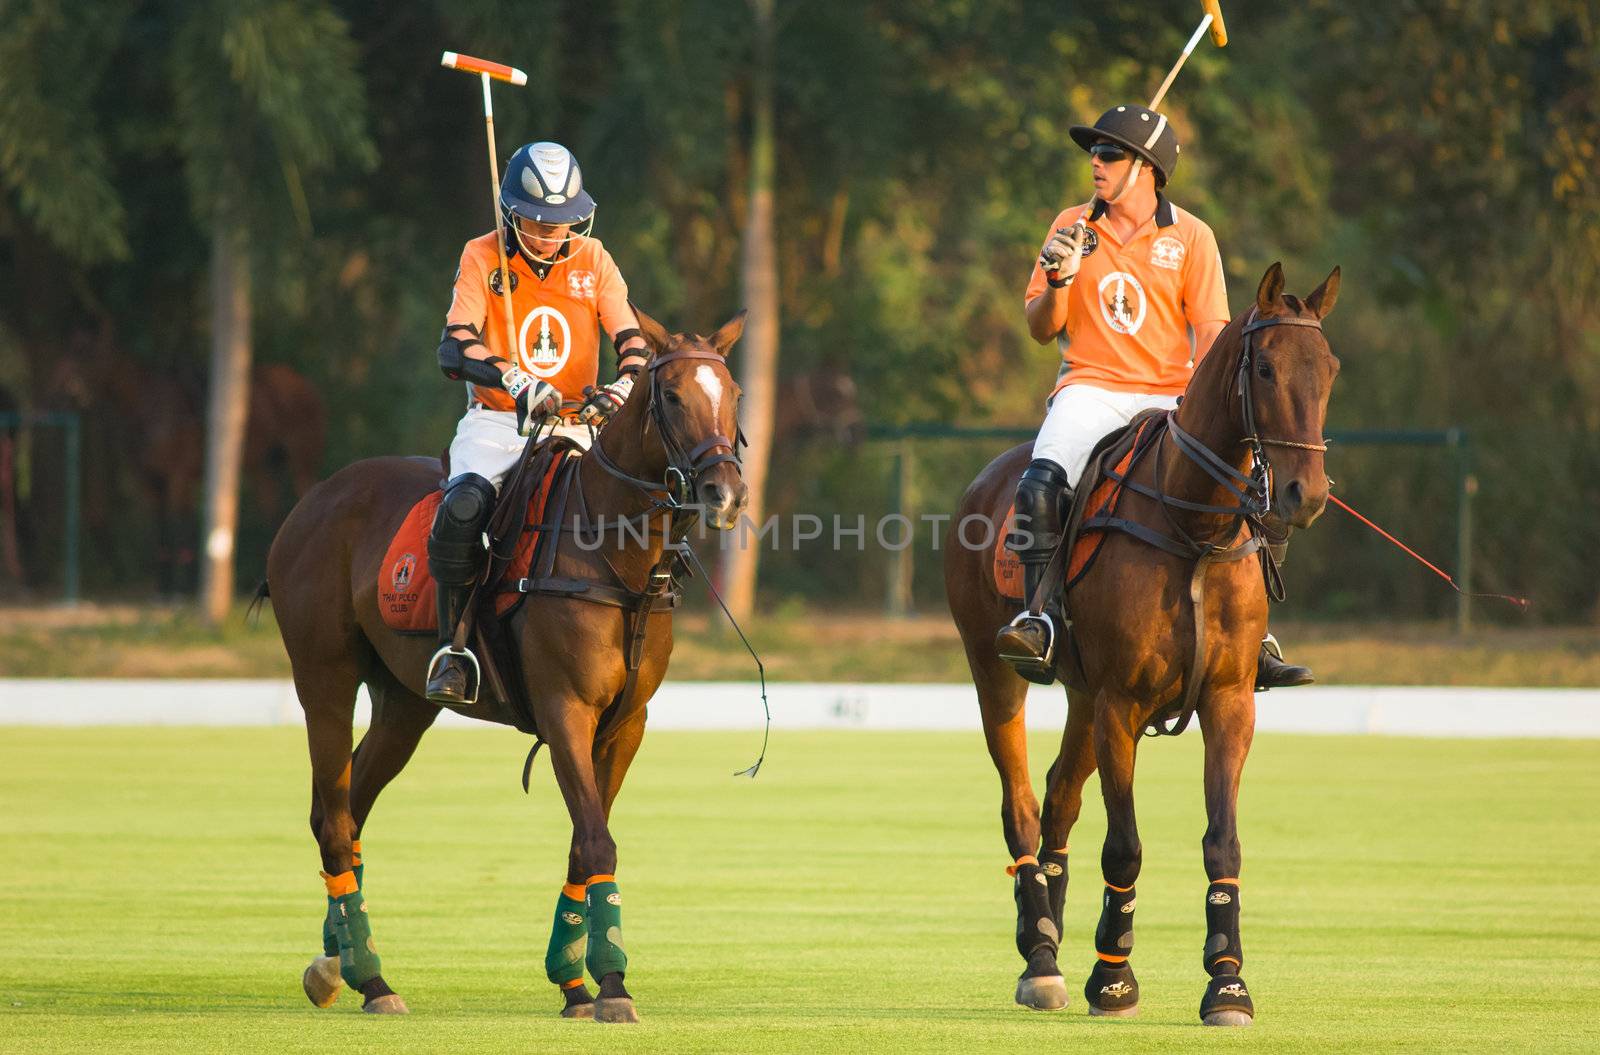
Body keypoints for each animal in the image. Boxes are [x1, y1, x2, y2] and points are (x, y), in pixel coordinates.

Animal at [267, 305, 748, 1024]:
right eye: (671, 395)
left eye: (735, 395)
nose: (725, 493)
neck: (614, 554)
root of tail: (312, 500)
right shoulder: (564, 709)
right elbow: (597, 838)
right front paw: (613, 985)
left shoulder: (625, 723)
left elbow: (584, 839)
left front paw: (573, 983)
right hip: (324, 676)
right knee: (335, 815)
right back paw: (371, 979)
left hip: (405, 703)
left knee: (346, 810)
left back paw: (336, 963)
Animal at [940, 265, 1344, 1030]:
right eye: (1266, 368)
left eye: (1330, 368)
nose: (1305, 495)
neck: (1197, 528)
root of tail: (986, 476)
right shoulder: (1122, 703)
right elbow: (1123, 846)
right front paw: (1113, 979)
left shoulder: (1228, 701)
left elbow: (1223, 838)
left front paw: (1227, 982)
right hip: (994, 668)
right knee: (1021, 805)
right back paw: (1041, 959)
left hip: (1081, 694)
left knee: (1059, 798)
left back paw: (1049, 932)